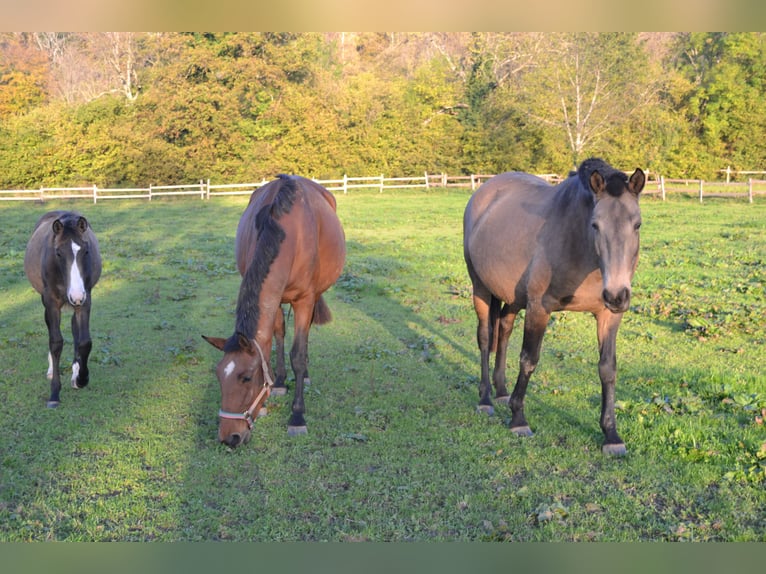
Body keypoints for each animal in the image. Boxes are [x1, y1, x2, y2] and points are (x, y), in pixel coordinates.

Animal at [24, 213, 103, 410]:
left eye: (86, 251)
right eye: (58, 253)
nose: (75, 295)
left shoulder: (85, 299)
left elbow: (84, 342)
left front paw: (81, 378)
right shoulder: (52, 303)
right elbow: (56, 343)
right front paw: (54, 394)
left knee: (75, 328)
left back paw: (75, 371)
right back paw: (52, 369)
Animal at [206, 176, 346, 450]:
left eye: (246, 377)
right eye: (218, 376)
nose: (229, 437)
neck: (288, 232)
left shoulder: (304, 300)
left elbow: (298, 355)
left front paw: (297, 416)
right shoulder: (276, 298)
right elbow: (275, 339)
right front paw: (275, 384)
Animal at [464, 160, 644, 456]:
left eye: (637, 224)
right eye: (595, 225)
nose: (617, 295)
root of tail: (484, 191)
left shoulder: (608, 316)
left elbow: (607, 369)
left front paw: (611, 434)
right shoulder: (539, 308)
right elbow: (529, 360)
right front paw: (518, 419)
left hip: (512, 298)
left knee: (504, 332)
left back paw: (501, 392)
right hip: (480, 288)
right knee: (485, 338)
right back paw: (486, 399)